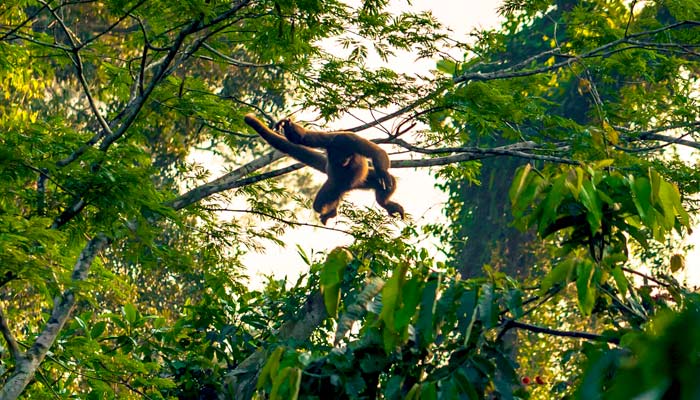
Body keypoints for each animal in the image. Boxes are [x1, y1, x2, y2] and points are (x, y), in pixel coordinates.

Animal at [243, 114, 404, 224]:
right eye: (339, 156)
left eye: (347, 155)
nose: (344, 160)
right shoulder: (330, 140)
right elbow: (303, 138)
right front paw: (287, 124)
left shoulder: (352, 141)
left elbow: (377, 152)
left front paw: (384, 174)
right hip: (334, 185)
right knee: (319, 204)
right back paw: (331, 213)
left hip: (362, 180)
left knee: (385, 182)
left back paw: (385, 202)